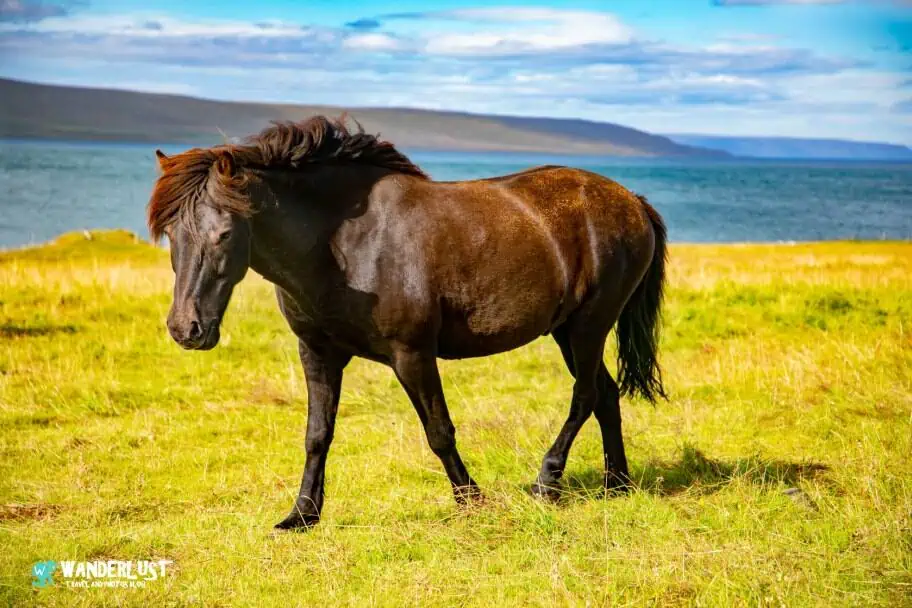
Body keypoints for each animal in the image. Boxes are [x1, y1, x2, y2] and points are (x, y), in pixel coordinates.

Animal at [148, 116, 667, 530]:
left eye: (224, 233)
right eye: (171, 233)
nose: (186, 328)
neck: (344, 244)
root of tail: (633, 201)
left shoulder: (412, 355)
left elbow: (439, 430)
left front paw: (471, 501)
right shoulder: (317, 353)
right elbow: (317, 435)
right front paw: (301, 515)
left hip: (588, 327)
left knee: (585, 395)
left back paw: (547, 480)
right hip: (566, 331)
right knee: (605, 395)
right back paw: (617, 484)